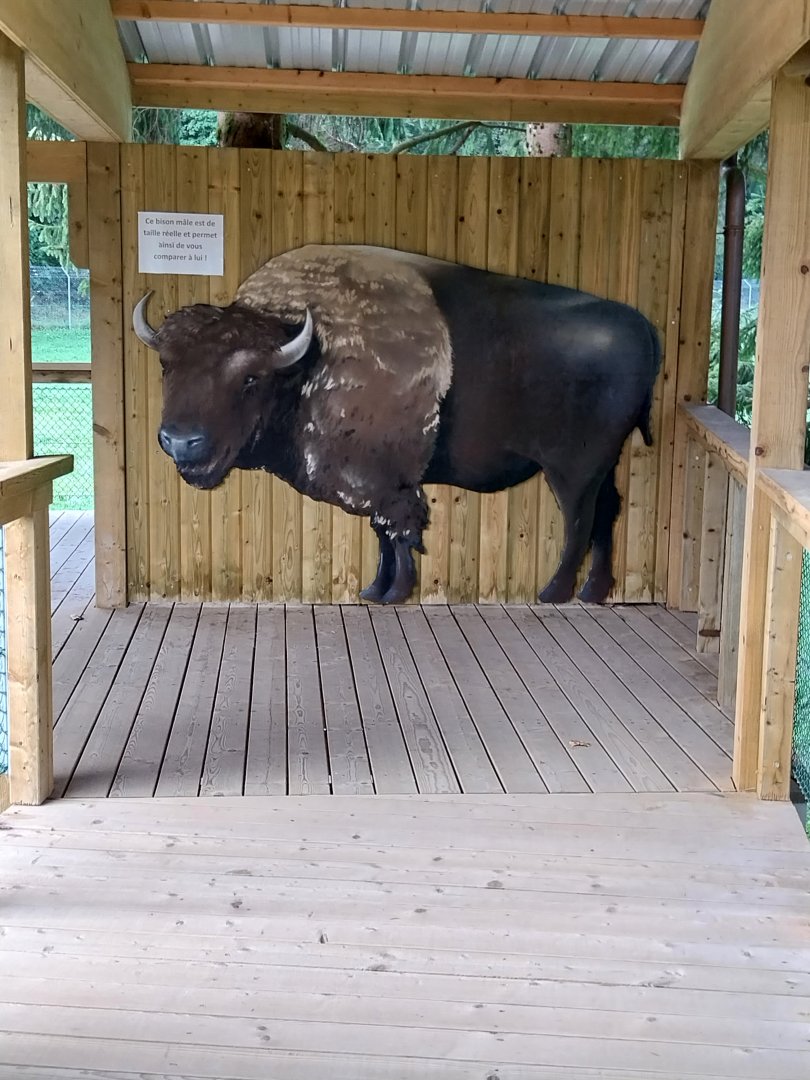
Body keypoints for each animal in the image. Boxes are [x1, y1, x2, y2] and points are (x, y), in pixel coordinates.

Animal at [133, 244, 659, 605]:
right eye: (165, 365)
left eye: (250, 378)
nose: (181, 442)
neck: (309, 359)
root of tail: (645, 329)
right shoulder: (376, 484)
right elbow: (383, 536)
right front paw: (375, 590)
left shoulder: (383, 480)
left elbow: (399, 533)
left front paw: (395, 592)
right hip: (601, 466)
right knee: (606, 514)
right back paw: (592, 592)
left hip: (572, 469)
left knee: (579, 521)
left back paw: (552, 593)